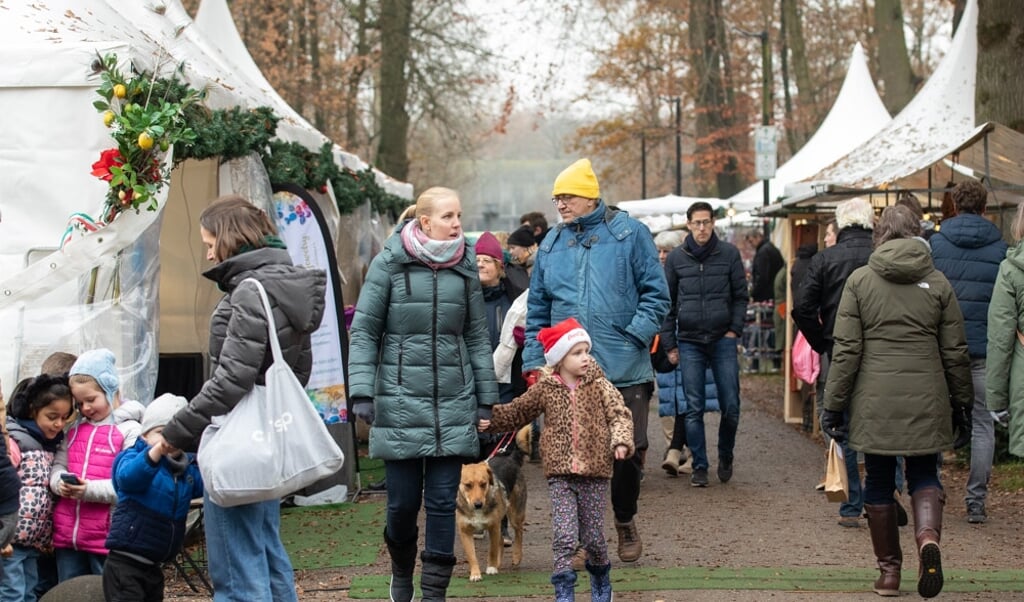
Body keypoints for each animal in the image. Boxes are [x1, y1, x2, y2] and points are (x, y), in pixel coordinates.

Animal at [460, 425, 532, 581]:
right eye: (467, 485)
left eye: (484, 484)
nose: (478, 504)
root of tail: (510, 458)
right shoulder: (465, 531)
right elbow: (472, 555)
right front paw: (475, 573)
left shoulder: (493, 526)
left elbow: (492, 550)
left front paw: (491, 567)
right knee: (501, 540)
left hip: (514, 514)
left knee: (518, 532)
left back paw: (516, 556)